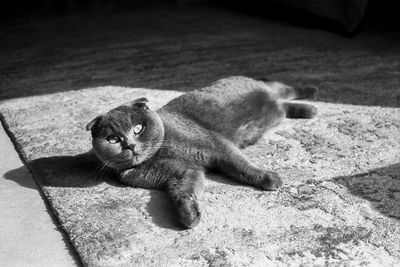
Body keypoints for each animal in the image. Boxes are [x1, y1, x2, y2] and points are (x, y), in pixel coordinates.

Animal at [86, 76, 318, 229]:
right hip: (274, 110)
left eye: (138, 129)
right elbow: (184, 189)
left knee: (284, 88)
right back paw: (308, 109)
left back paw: (312, 93)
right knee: (284, 105)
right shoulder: (181, 172)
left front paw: (269, 178)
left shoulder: (216, 145)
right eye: (113, 139)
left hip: (264, 89)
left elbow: (240, 164)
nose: (130, 145)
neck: (159, 154)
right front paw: (188, 215)